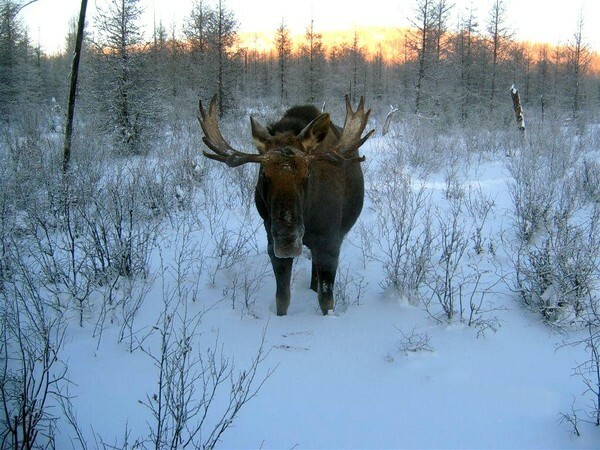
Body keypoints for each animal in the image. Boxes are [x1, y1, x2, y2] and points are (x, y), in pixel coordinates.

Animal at [199, 96, 372, 312]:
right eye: (263, 174)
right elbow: (282, 299)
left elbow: (327, 301)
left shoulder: (330, 241)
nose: (287, 240)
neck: (309, 216)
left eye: (307, 172)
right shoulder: (271, 243)